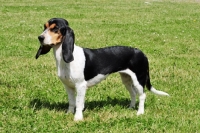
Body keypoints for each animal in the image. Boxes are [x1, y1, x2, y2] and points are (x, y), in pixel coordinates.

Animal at [35, 17, 169, 121]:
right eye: (44, 27)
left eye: (55, 29)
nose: (40, 37)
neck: (62, 58)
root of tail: (141, 53)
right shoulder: (68, 86)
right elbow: (72, 102)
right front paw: (69, 113)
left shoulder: (81, 86)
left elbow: (78, 103)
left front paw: (78, 118)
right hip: (126, 80)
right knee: (133, 94)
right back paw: (131, 107)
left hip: (139, 80)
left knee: (142, 96)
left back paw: (140, 112)